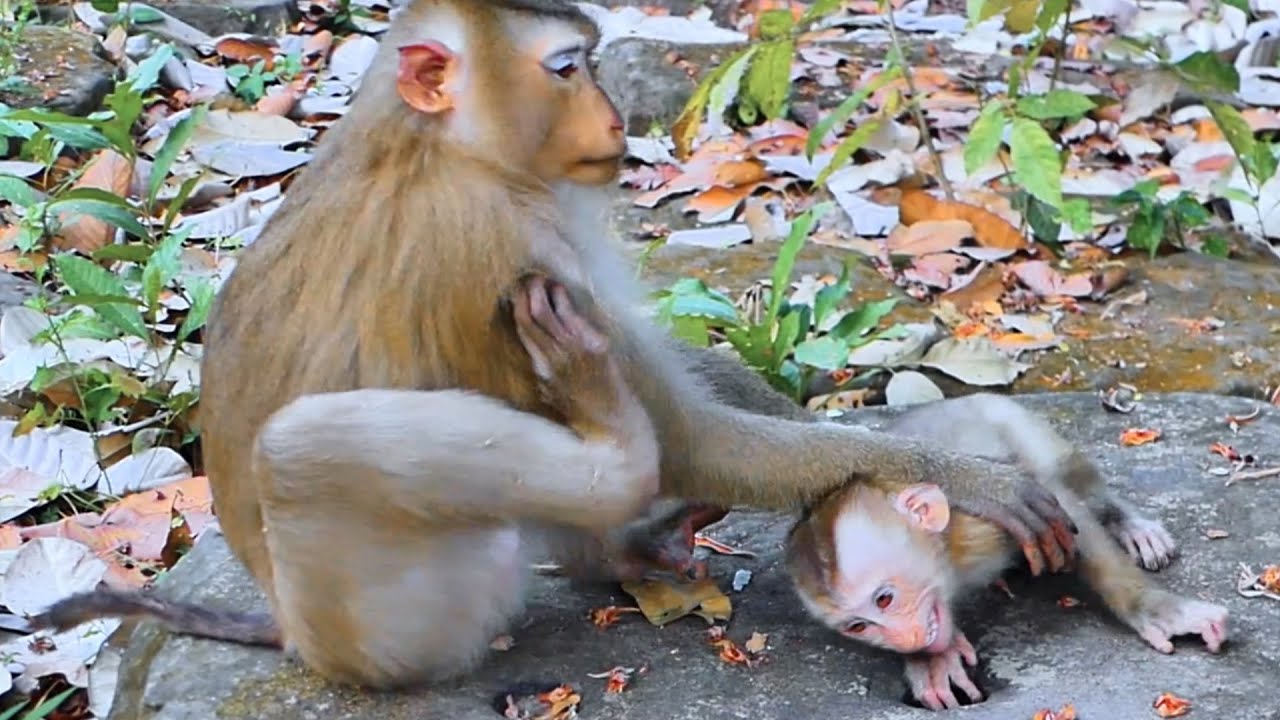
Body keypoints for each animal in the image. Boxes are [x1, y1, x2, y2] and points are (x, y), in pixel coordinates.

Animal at [31, 0, 1081, 690]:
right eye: (569, 68)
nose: (617, 117)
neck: (435, 145)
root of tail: (291, 628)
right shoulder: (506, 241)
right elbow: (690, 434)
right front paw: (963, 478)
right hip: (379, 620)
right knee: (313, 446)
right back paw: (614, 463)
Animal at [786, 394, 1229, 711]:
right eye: (858, 626)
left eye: (884, 598)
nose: (906, 640)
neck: (949, 557)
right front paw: (932, 662)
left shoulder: (988, 519)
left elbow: (1065, 513)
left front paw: (1155, 608)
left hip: (1010, 414)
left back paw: (1128, 522)